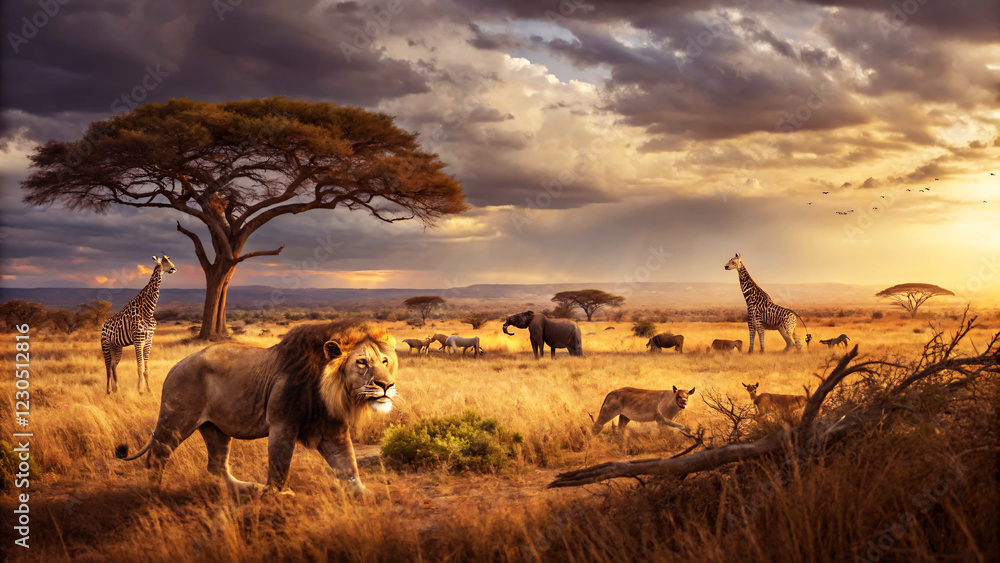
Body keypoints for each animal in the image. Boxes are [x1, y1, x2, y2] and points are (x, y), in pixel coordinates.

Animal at [114, 320, 397, 496]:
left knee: (216, 467)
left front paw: (365, 493)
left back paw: (245, 488)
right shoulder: (282, 423)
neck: (330, 389)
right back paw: (154, 493)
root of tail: (175, 366)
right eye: (362, 362)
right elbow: (280, 463)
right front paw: (278, 494)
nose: (386, 385)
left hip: (216, 429)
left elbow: (348, 463)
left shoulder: (333, 429)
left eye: (384, 361)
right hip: (176, 421)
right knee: (156, 457)